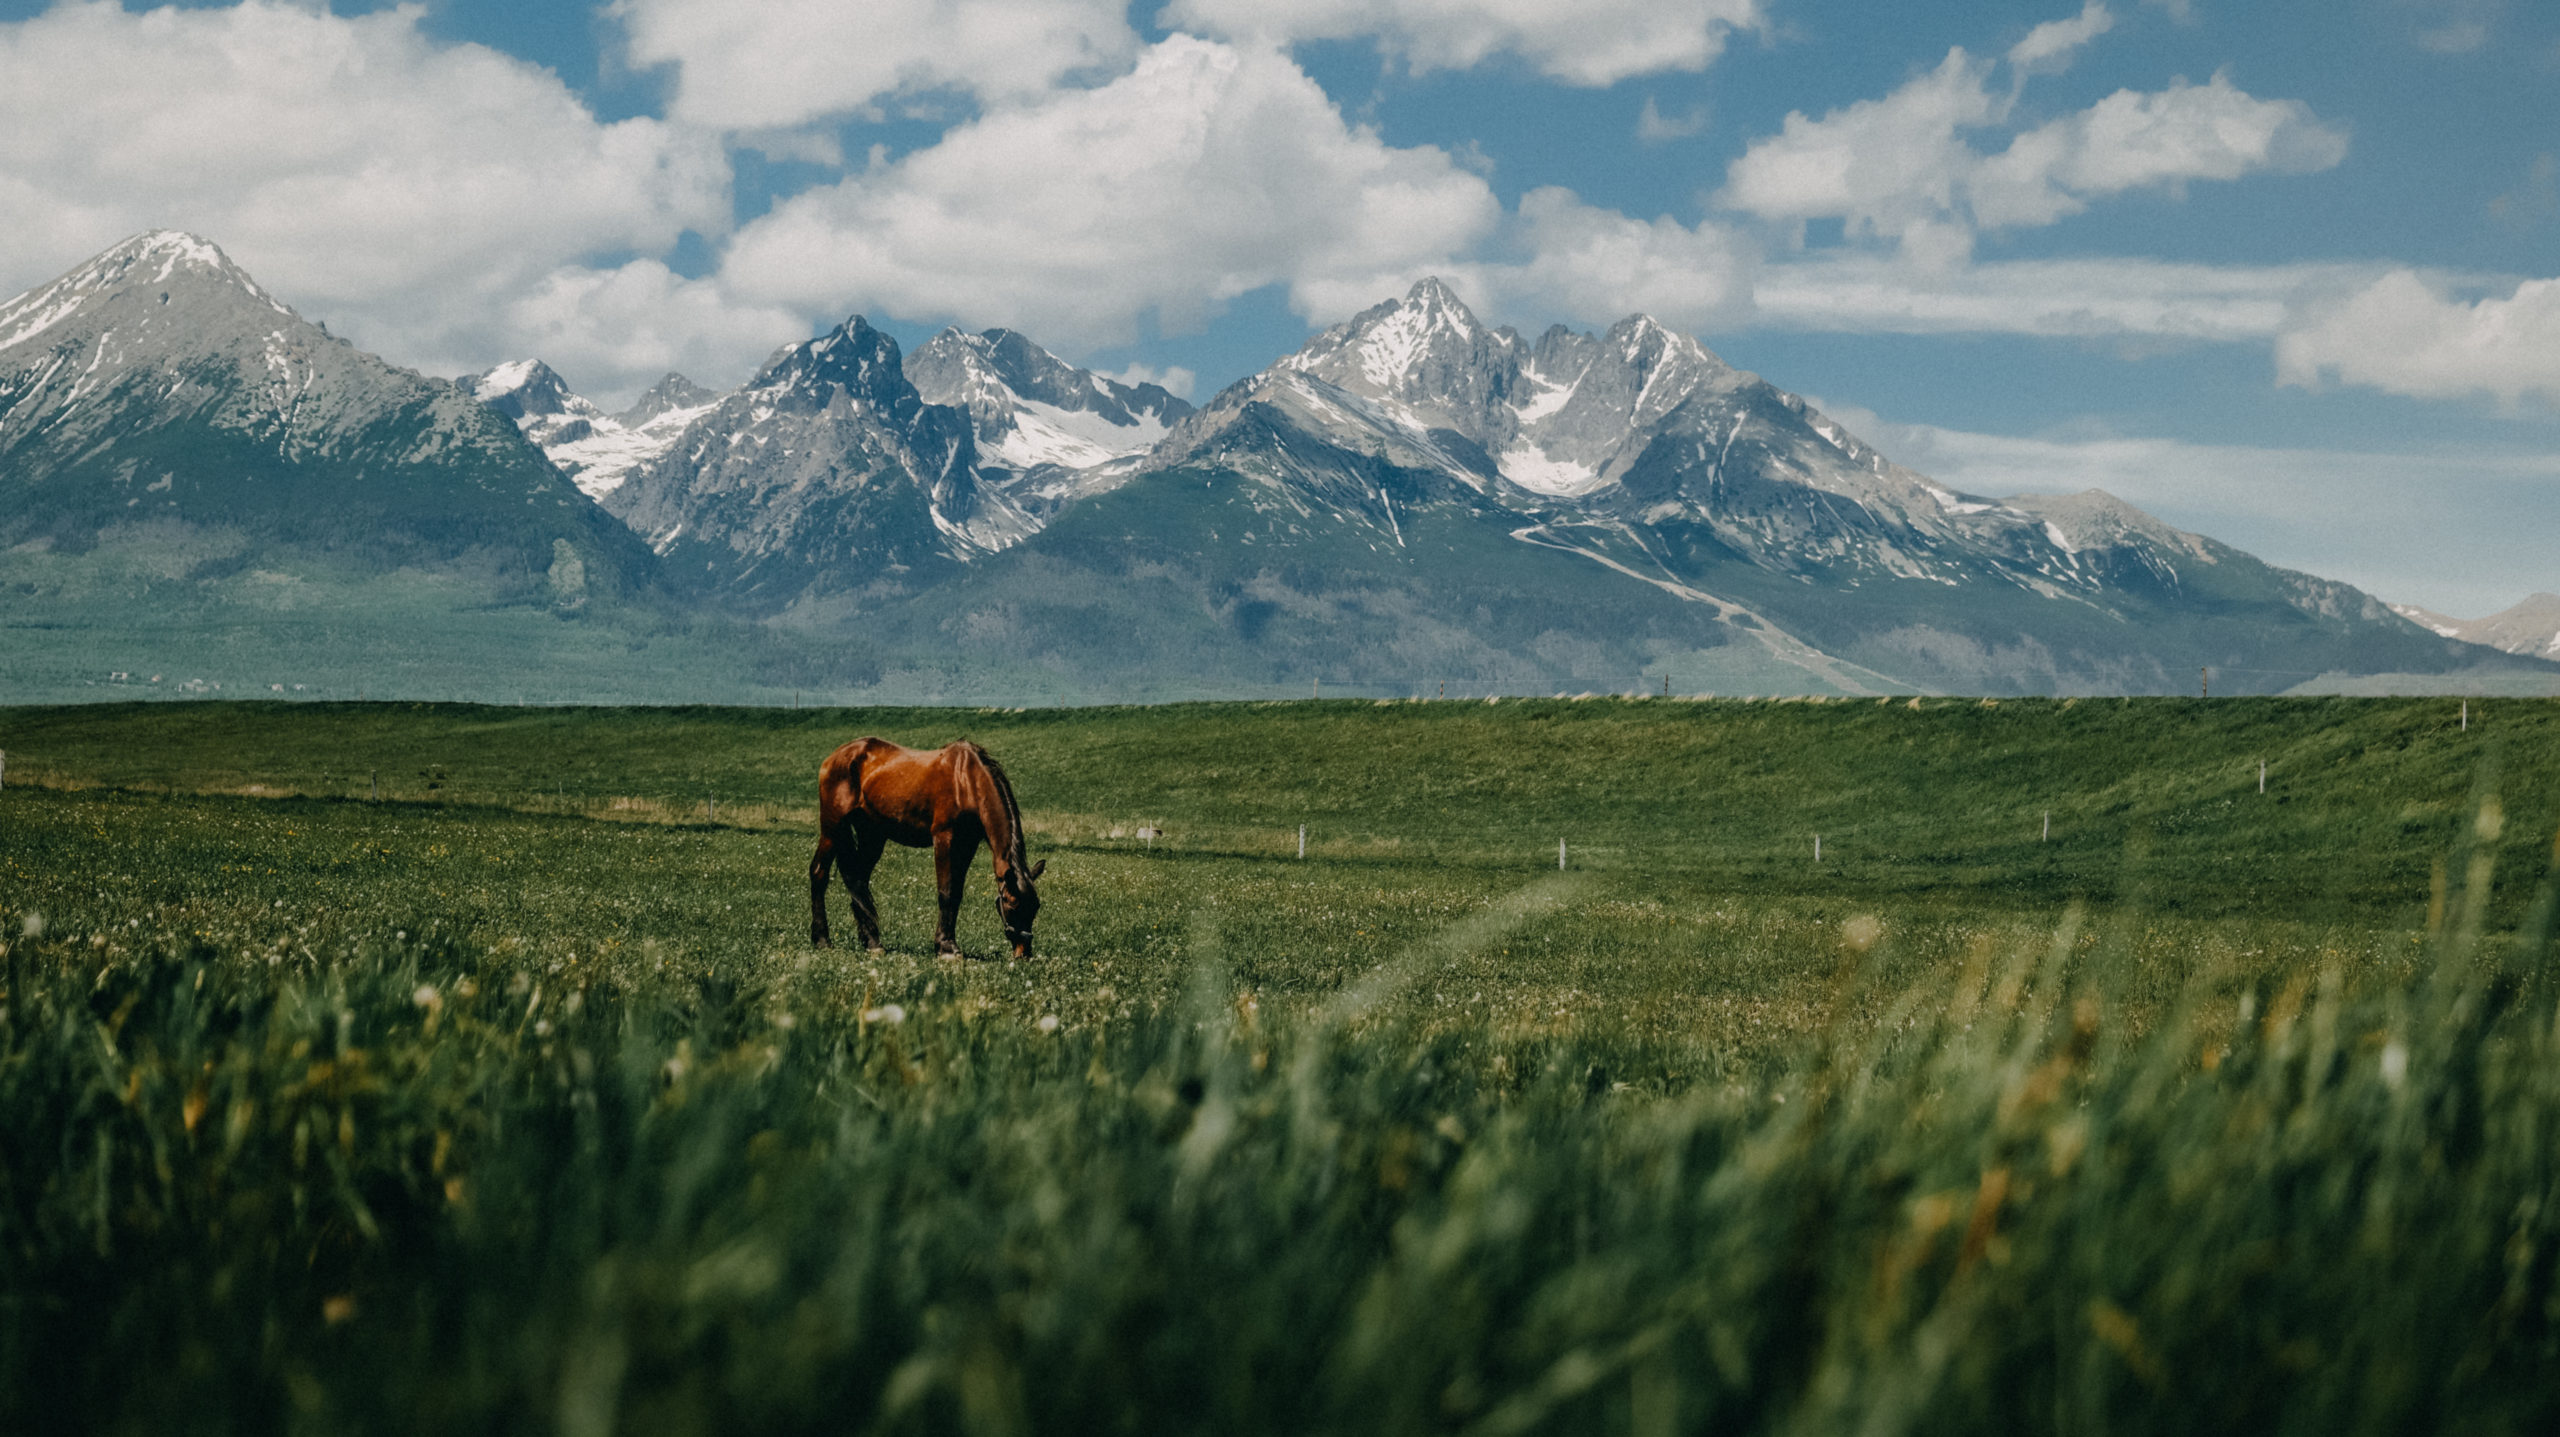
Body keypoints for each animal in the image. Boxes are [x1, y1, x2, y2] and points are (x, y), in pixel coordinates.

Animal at [798, 737, 1039, 952]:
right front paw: (946, 947)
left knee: (859, 880)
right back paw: (822, 939)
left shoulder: (967, 844)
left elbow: (957, 893)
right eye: (1012, 903)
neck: (967, 781)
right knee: (819, 873)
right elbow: (946, 892)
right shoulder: (944, 838)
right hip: (832, 828)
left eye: (1036, 906)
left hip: (872, 835)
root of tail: (835, 757)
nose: (1023, 952)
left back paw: (872, 942)